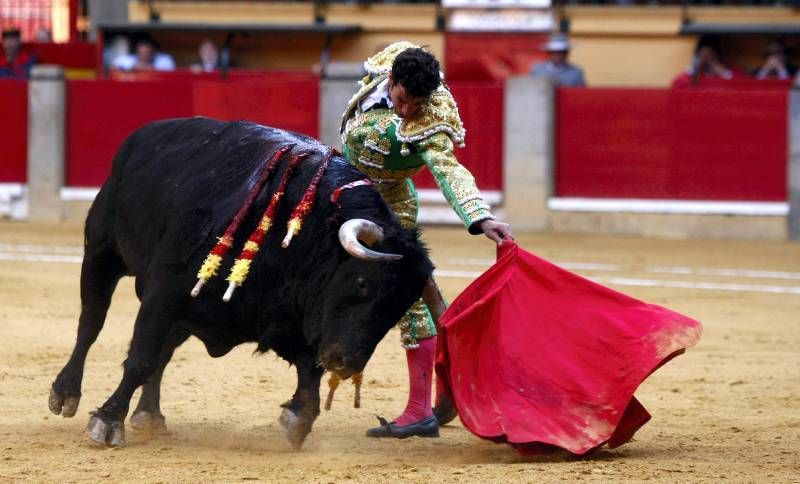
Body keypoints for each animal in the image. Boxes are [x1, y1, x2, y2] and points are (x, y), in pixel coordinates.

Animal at [47, 117, 434, 450]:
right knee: (91, 322)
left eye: (399, 308)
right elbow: (140, 357)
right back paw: (66, 393)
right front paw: (107, 421)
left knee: (164, 351)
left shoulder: (288, 317)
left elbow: (309, 371)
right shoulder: (166, 292)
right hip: (101, 252)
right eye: (363, 282)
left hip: (181, 313)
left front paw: (298, 420)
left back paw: (150, 415)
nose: (346, 361)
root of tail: (142, 136)